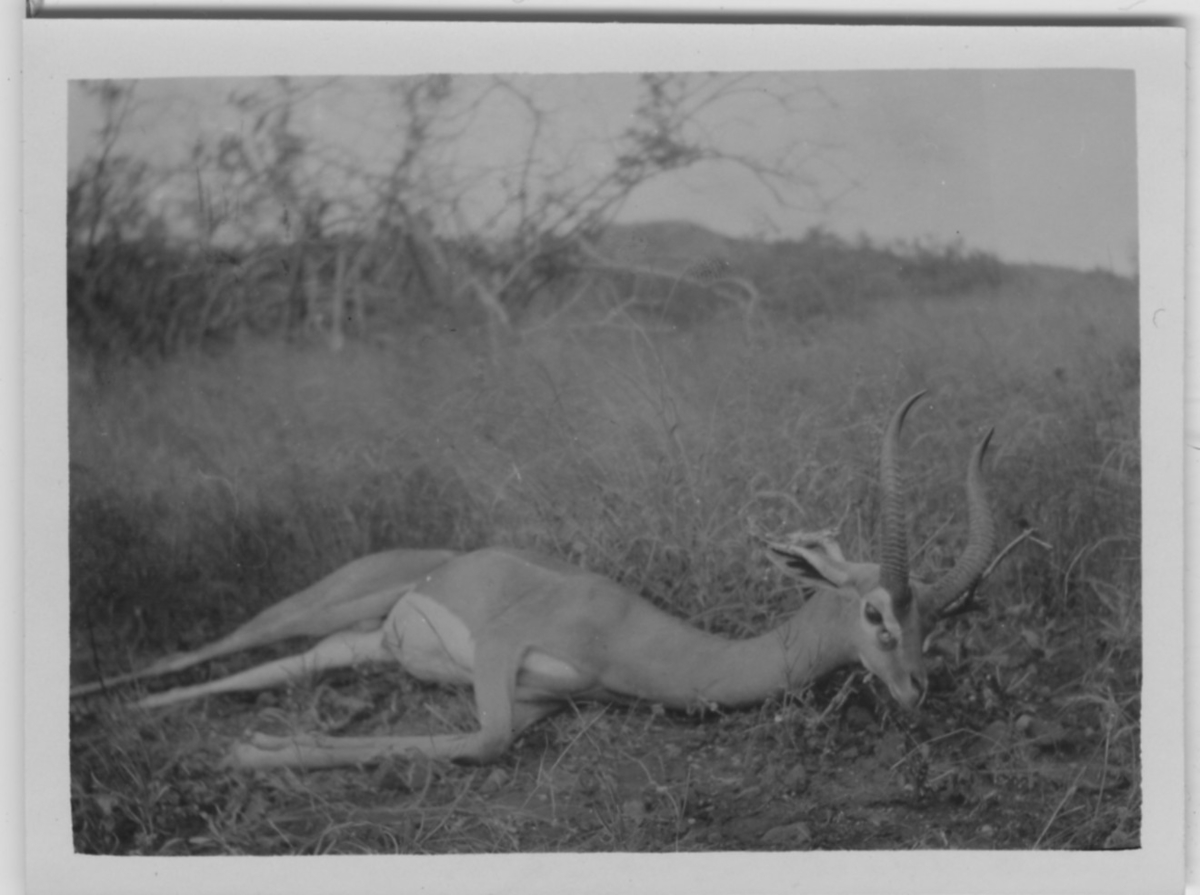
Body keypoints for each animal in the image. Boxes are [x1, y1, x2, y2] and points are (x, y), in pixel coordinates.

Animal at [71, 392, 995, 770]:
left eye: (934, 622)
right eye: (877, 612)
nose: (917, 689)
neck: (633, 636)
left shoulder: (543, 699)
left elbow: (473, 739)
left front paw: (257, 747)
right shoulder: (502, 648)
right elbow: (483, 743)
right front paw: (248, 752)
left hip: (361, 644)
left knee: (265, 669)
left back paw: (134, 718)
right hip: (328, 602)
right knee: (193, 652)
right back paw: (102, 706)